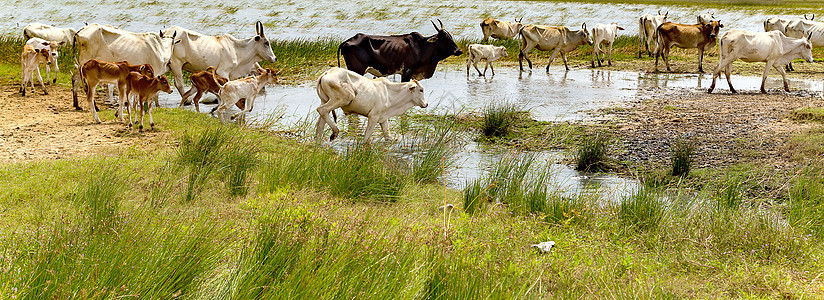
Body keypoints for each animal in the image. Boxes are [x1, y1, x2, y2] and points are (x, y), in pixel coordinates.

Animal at [336, 20, 464, 82]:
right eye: (444, 39)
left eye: (451, 37)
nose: (459, 51)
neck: (422, 47)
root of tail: (347, 41)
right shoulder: (407, 71)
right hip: (357, 70)